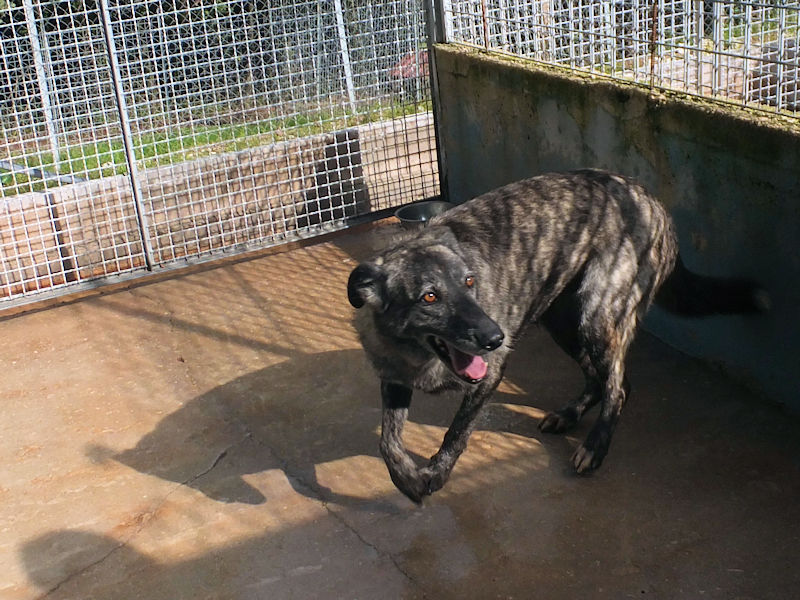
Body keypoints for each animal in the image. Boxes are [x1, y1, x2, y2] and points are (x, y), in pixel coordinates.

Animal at [347, 169, 766, 503]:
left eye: (469, 283)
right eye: (429, 297)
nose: (496, 337)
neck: (417, 354)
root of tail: (653, 203)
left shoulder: (490, 375)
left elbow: (457, 432)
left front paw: (436, 473)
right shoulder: (393, 378)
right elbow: (387, 441)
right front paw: (406, 479)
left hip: (597, 316)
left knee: (618, 386)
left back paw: (594, 448)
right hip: (564, 324)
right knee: (601, 379)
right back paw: (569, 415)